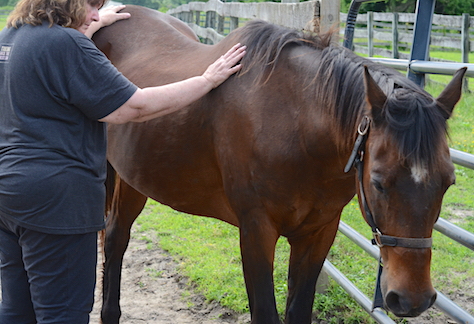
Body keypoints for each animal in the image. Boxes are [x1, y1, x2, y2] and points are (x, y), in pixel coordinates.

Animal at [93, 5, 466, 324]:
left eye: (448, 182)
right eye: (378, 181)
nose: (412, 299)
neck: (295, 126)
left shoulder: (318, 234)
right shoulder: (256, 231)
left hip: (133, 178)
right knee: (115, 239)